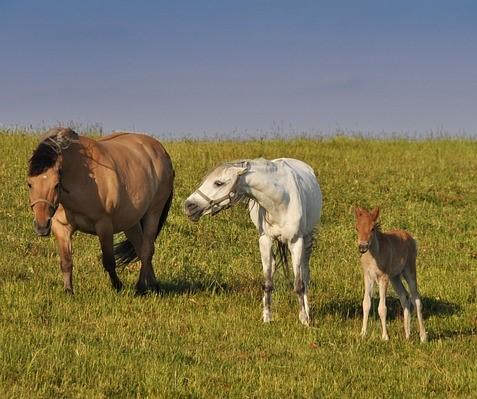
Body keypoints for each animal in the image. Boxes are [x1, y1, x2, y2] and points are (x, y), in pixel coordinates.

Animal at [27, 128, 174, 294]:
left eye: (56, 184)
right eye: (30, 184)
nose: (41, 226)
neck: (80, 176)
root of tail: (161, 151)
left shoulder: (104, 225)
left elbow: (109, 261)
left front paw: (118, 287)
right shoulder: (61, 227)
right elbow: (66, 261)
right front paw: (69, 291)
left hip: (153, 213)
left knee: (147, 249)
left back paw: (141, 287)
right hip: (131, 222)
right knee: (141, 248)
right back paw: (153, 285)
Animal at [184, 158, 322, 326]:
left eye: (218, 183)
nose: (188, 205)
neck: (281, 199)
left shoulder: (296, 241)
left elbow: (299, 284)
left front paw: (304, 320)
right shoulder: (265, 240)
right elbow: (267, 283)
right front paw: (267, 318)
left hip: (307, 239)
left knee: (305, 273)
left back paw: (307, 312)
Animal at [354, 208, 428, 342]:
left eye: (372, 228)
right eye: (357, 228)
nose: (362, 247)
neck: (374, 255)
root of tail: (411, 238)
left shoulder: (384, 278)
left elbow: (382, 308)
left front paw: (385, 337)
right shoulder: (368, 277)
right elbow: (366, 304)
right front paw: (363, 334)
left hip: (409, 270)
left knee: (416, 299)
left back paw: (423, 336)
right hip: (395, 277)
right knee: (404, 296)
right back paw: (407, 335)